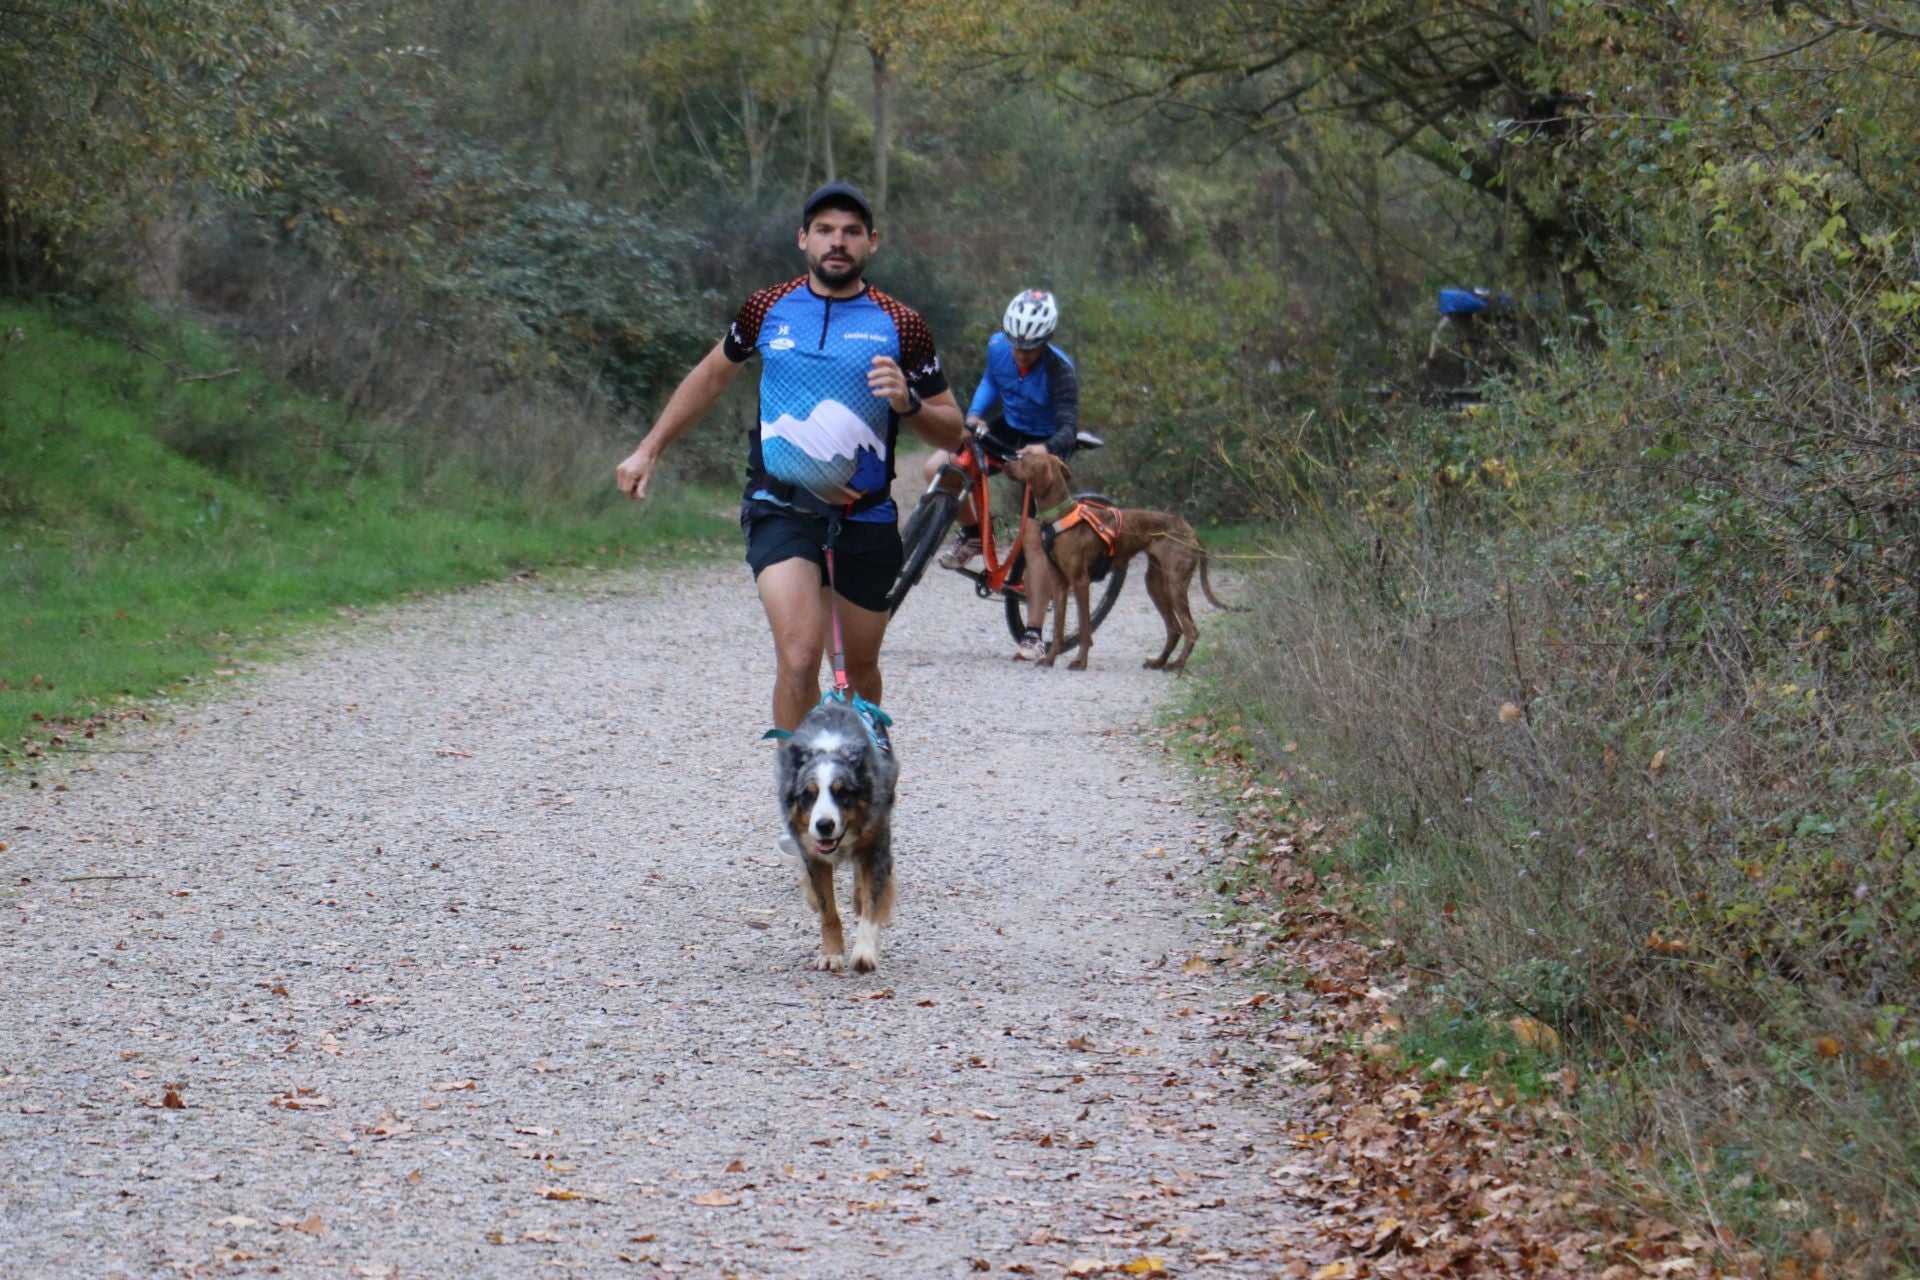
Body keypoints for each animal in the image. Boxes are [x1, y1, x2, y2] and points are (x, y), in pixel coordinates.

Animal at [771, 694, 898, 974]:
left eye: (843, 793)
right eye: (807, 795)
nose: (824, 825)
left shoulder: (877, 845)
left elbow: (872, 904)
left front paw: (864, 952)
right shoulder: (813, 855)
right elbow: (828, 909)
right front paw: (831, 954)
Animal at [1006, 449, 1228, 671]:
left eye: (1023, 459)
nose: (1005, 462)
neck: (1059, 516)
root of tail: (1189, 528)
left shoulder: (1080, 580)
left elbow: (1085, 628)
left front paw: (1080, 661)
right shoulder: (1059, 583)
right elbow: (1057, 630)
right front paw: (1050, 659)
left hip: (1174, 584)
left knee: (1191, 630)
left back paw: (1177, 664)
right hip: (1155, 584)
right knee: (1174, 628)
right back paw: (1158, 661)